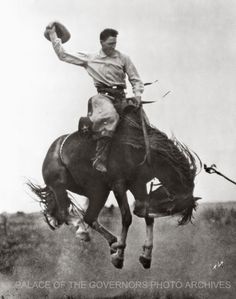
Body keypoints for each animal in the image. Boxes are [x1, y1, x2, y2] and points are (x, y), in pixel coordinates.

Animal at [27, 93, 201, 270]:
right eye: (172, 207)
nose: (139, 209)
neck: (139, 148)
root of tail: (52, 149)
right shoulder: (118, 184)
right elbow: (127, 217)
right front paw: (119, 256)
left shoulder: (138, 185)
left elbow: (148, 218)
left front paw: (145, 256)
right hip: (63, 187)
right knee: (69, 214)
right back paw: (89, 234)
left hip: (97, 191)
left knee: (88, 217)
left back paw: (103, 239)